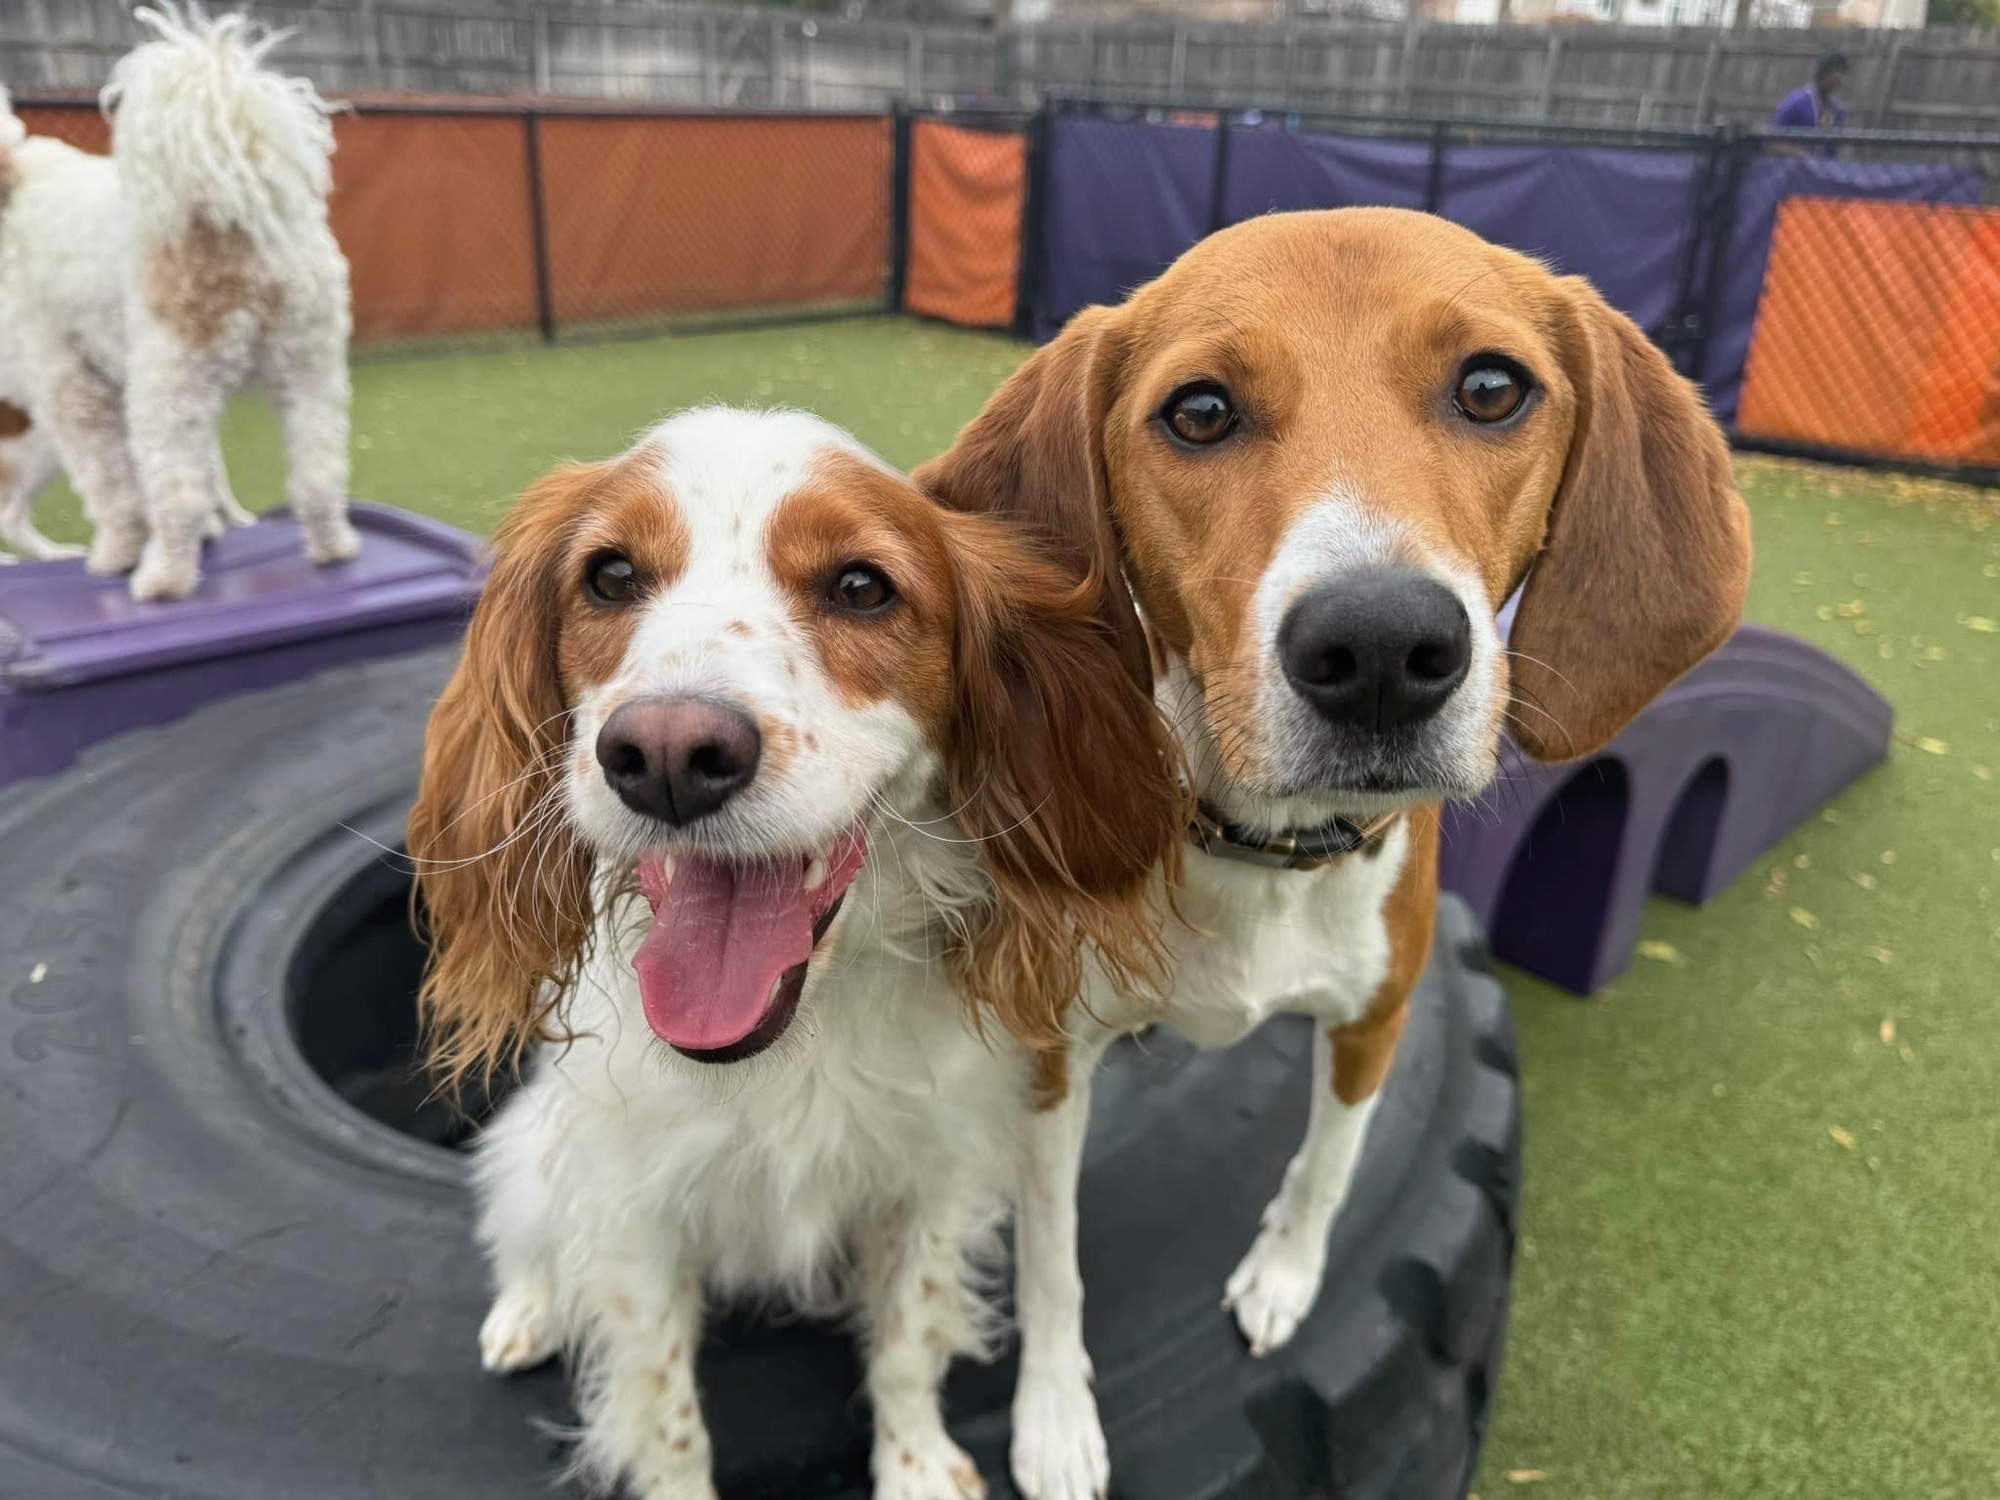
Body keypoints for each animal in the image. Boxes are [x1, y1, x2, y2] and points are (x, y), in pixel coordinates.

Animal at [0, 10, 357, 596]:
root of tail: (223, 217)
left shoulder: (68, 385)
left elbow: (111, 483)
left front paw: (117, 550)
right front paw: (207, 534)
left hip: (168, 384)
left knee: (179, 495)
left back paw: (162, 578)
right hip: (309, 365)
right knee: (318, 473)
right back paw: (333, 547)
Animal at [407, 407, 1182, 1499]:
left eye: (860, 586)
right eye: (609, 575)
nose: (669, 755)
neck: (790, 1036)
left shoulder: (927, 1177)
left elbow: (906, 1343)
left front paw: (914, 1467)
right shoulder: (633, 1217)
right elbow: (667, 1419)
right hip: (535, 1152)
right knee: (530, 1232)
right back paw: (529, 1310)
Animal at [917, 207, 1753, 1495]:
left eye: (1490, 387)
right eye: (1198, 412)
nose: (1378, 647)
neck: (1258, 853)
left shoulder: (1376, 1017)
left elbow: (1326, 1165)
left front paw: (1284, 1274)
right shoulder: (1051, 1066)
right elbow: (1053, 1256)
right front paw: (1053, 1415)